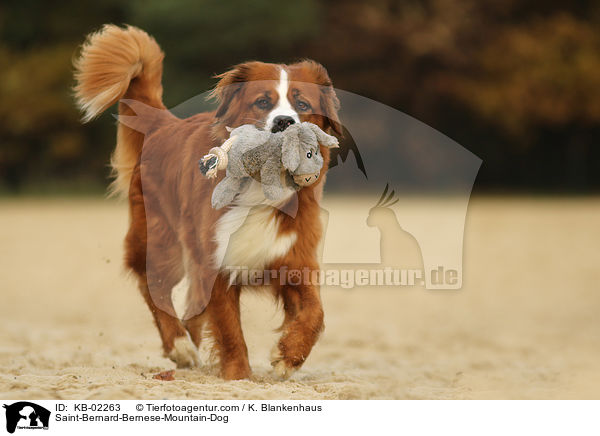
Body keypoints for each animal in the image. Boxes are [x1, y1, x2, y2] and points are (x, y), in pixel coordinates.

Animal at [74, 24, 342, 378]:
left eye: (301, 102)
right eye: (262, 102)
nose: (284, 122)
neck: (261, 187)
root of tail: (165, 123)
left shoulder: (295, 258)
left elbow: (316, 313)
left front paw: (288, 356)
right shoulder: (214, 262)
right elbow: (229, 330)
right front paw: (238, 376)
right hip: (163, 243)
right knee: (153, 286)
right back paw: (180, 346)